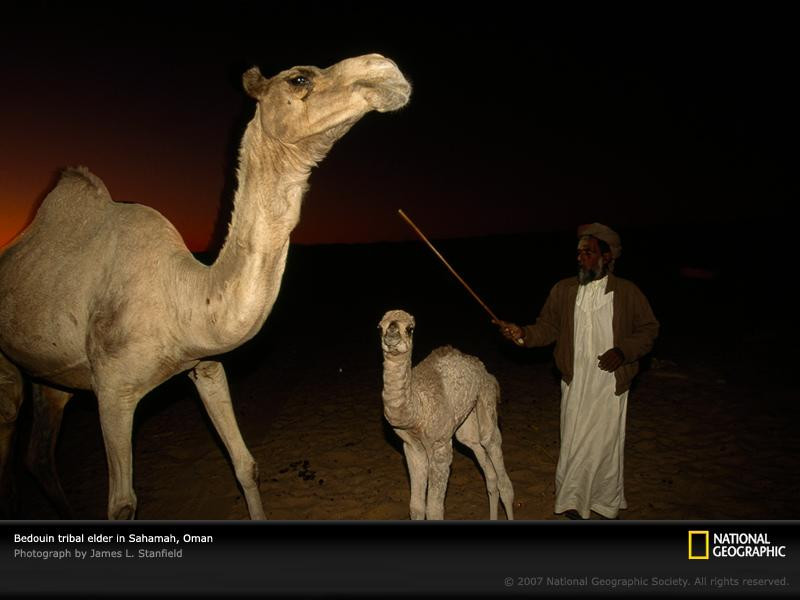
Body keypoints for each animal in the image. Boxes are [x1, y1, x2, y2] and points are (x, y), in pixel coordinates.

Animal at [378, 312, 516, 516]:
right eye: (380, 327)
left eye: (410, 329)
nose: (391, 335)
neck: (418, 412)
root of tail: (486, 372)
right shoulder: (412, 448)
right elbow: (416, 507)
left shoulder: (440, 447)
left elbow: (434, 509)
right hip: (466, 427)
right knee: (487, 470)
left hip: (487, 401)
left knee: (499, 466)